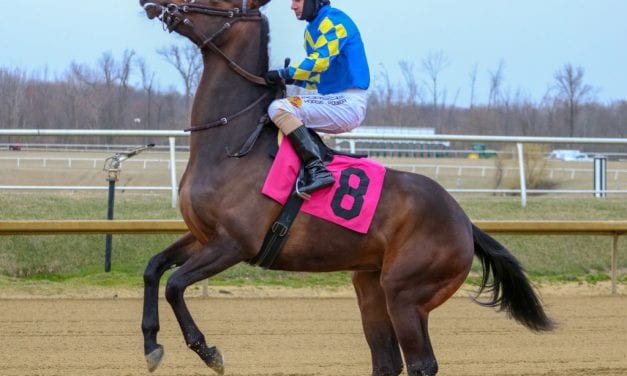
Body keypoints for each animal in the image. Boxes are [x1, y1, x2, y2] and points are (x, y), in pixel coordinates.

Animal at [139, 1, 556, 374]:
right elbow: (154, 268)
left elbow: (175, 284)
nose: (155, 5)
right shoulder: (204, 235)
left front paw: (207, 351)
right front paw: (151, 343)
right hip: (370, 287)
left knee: (420, 363)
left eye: (218, 1)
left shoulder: (235, 243)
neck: (233, 145)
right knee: (387, 362)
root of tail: (463, 221)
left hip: (405, 294)